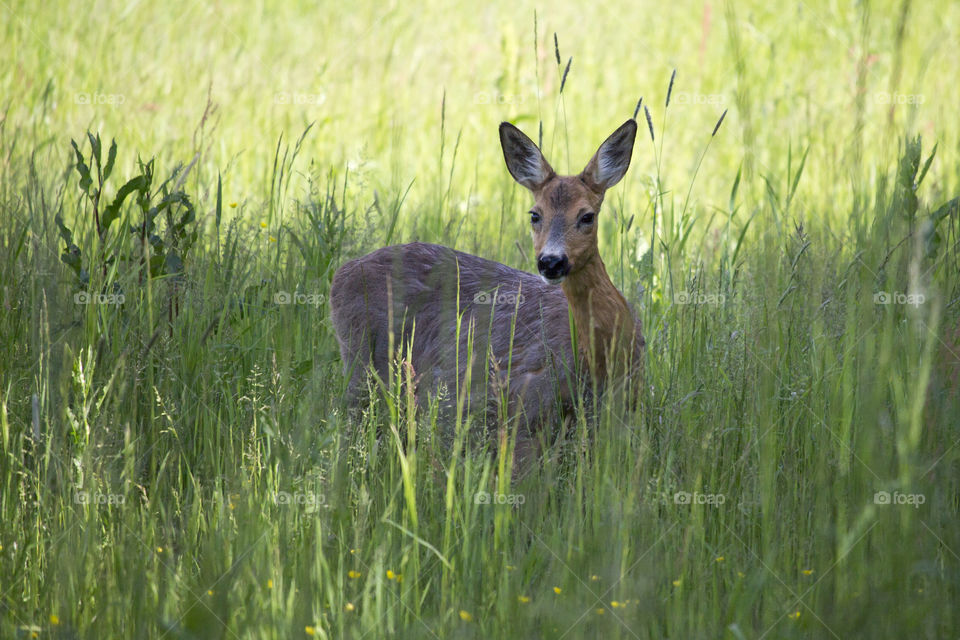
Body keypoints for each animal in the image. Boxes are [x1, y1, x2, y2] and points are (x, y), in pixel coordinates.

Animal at [329, 119, 645, 468]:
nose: (551, 261)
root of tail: (342, 272)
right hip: (360, 368)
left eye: (587, 216)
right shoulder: (522, 409)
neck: (603, 359)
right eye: (535, 215)